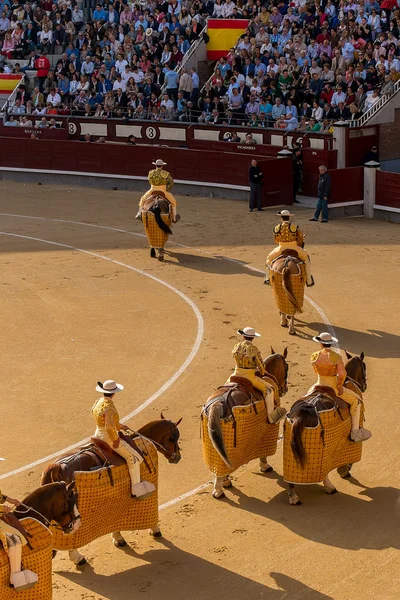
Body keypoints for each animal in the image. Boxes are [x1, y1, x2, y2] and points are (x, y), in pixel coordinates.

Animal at [40, 414, 181, 564]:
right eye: (174, 437)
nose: (177, 457)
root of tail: (56, 467)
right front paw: (155, 529)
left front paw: (118, 539)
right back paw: (78, 557)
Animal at [203, 350, 288, 500]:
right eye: (287, 367)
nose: (285, 389)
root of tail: (217, 404)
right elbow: (263, 453)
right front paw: (265, 466)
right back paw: (219, 491)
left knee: (220, 461)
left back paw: (223, 483)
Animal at [286, 352, 368, 506]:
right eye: (364, 367)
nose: (364, 385)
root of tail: (302, 412)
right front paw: (344, 470)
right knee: (323, 470)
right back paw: (330, 487)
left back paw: (293, 496)